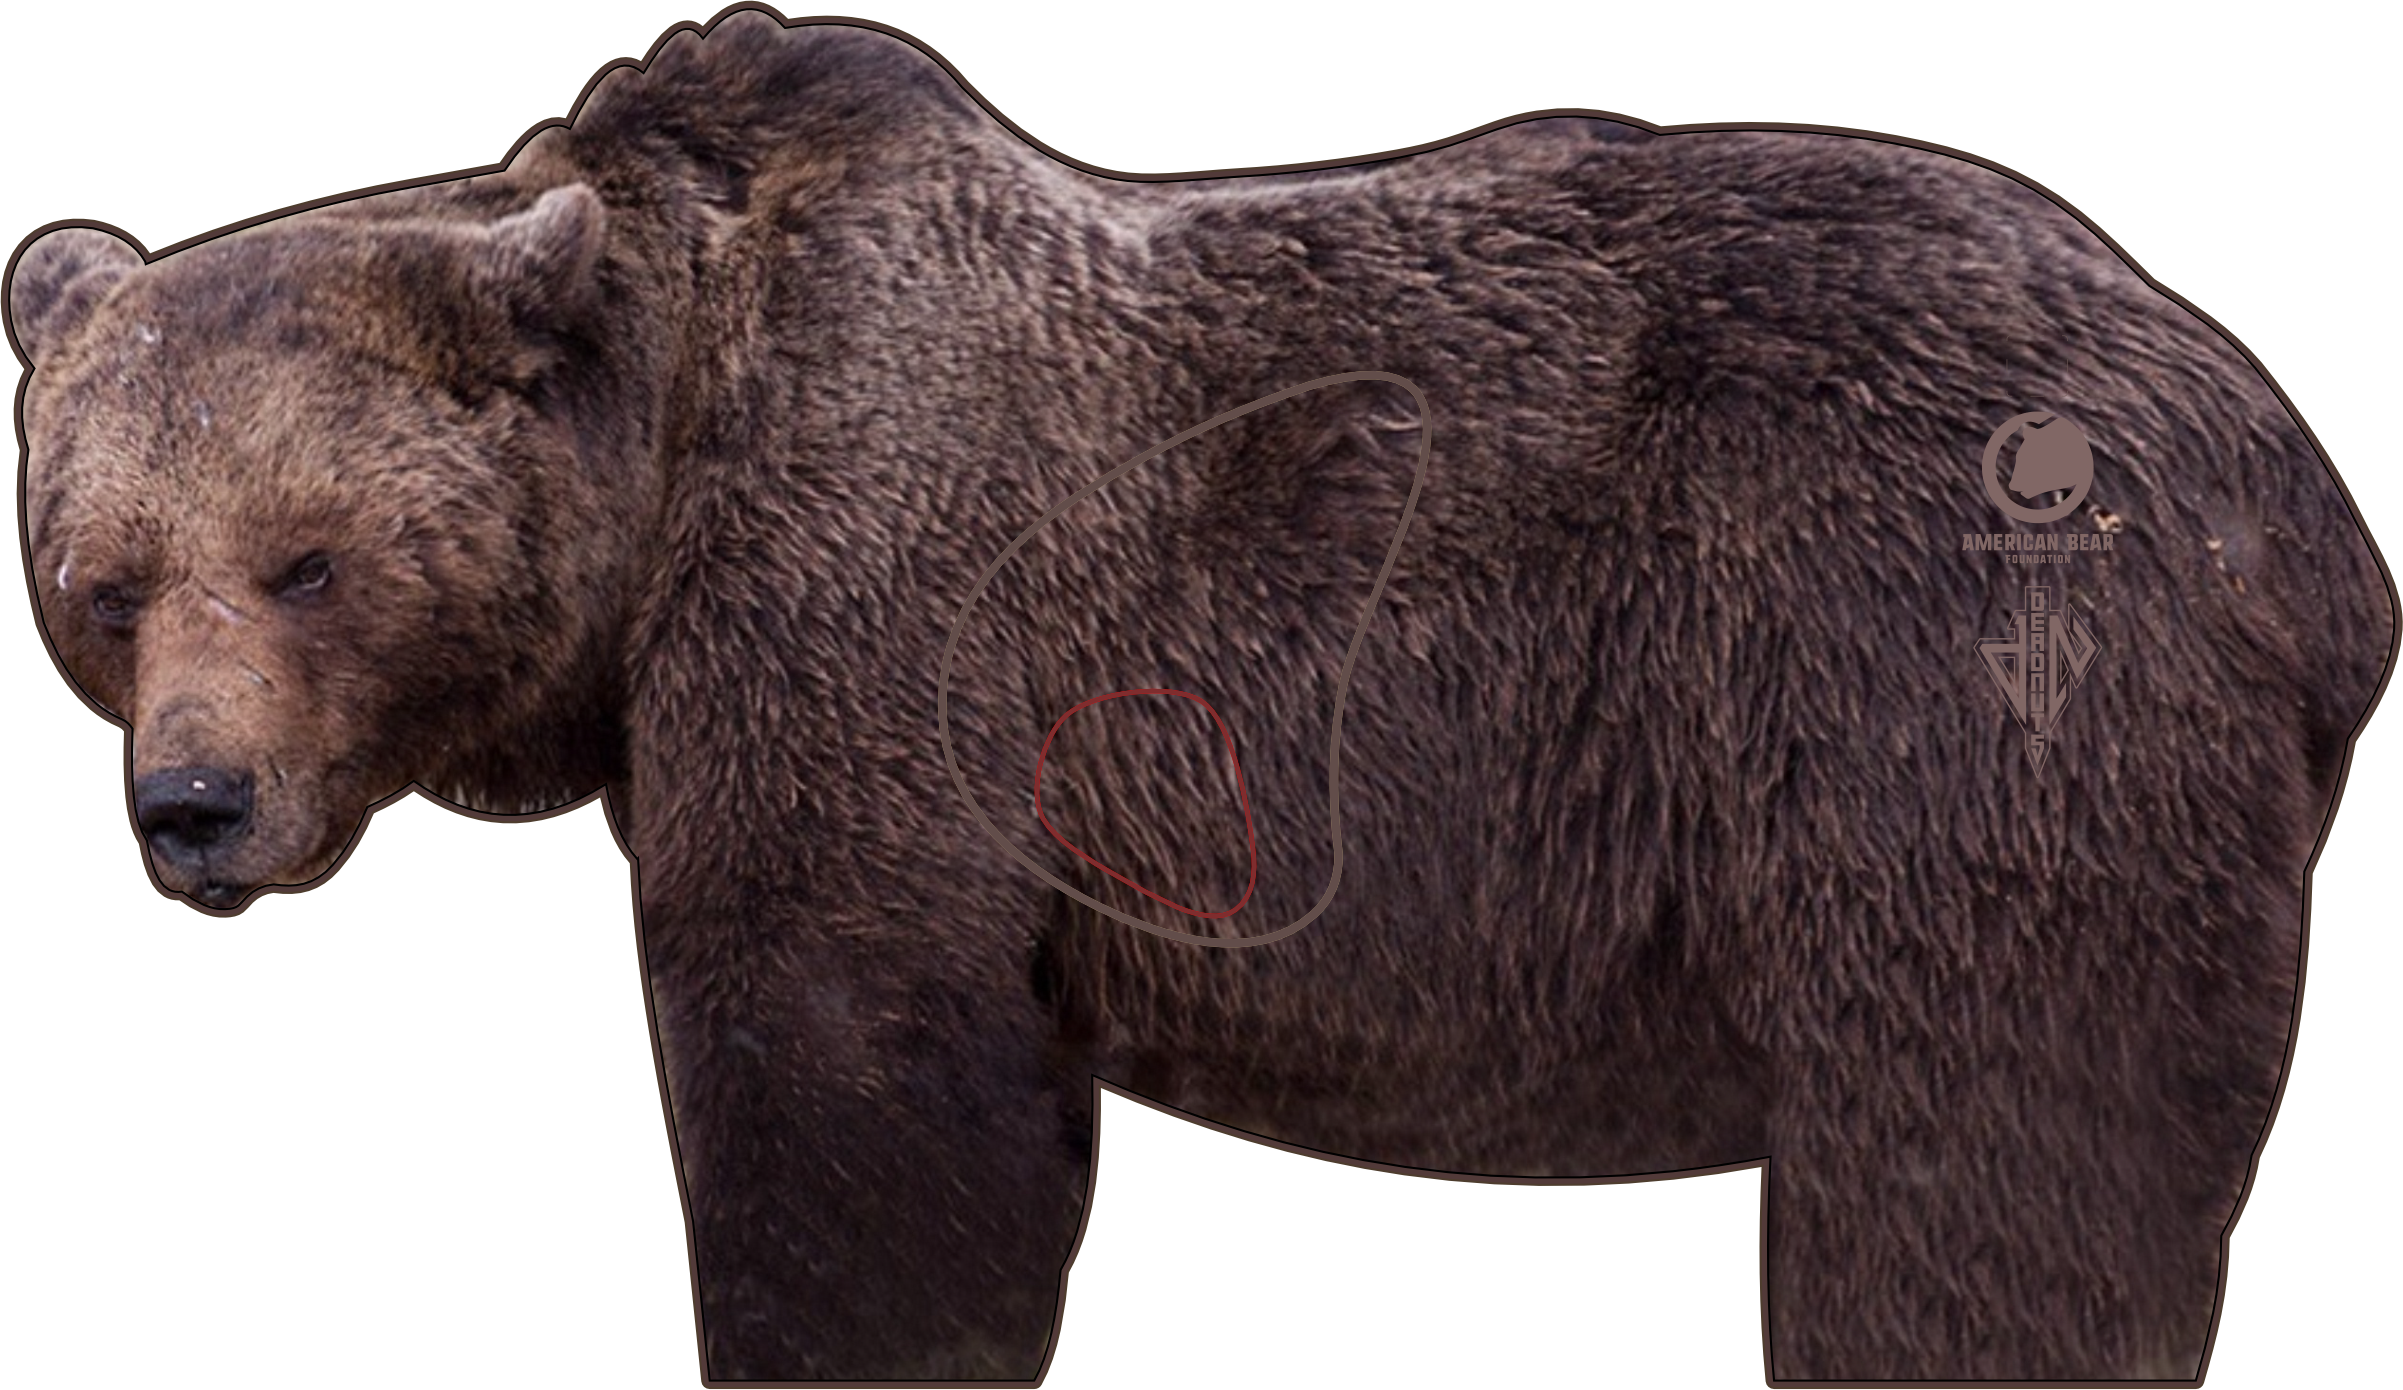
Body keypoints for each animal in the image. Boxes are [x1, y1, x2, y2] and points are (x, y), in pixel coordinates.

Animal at [7, 7, 2395, 1387]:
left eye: (307, 559)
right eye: (99, 583)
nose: (194, 808)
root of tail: (2301, 489)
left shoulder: (884, 643)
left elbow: (854, 1117)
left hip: (1949, 694)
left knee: (1973, 1186)